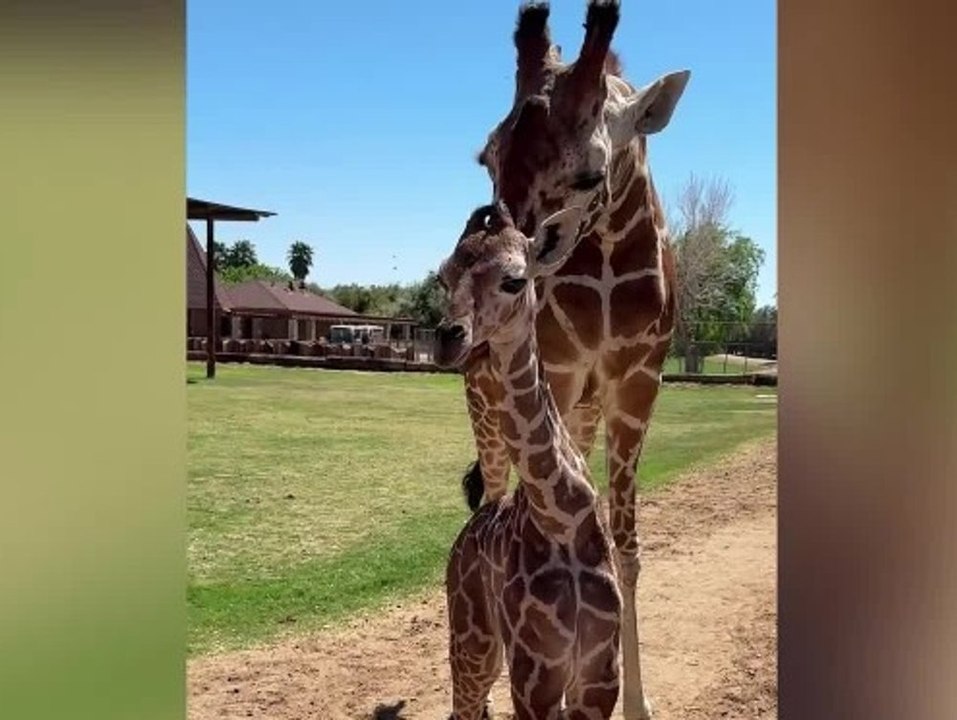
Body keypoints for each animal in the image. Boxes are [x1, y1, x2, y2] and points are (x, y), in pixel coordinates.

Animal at [436, 201, 621, 720]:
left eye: (514, 280)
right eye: (442, 277)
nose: (448, 338)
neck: (563, 516)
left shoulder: (600, 673)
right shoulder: (535, 674)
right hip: (474, 643)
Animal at [457, 3, 690, 719]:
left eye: (590, 173)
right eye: (487, 154)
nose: (502, 250)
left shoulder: (638, 383)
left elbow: (627, 549)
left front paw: (638, 702)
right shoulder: (555, 373)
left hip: (586, 412)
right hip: (488, 415)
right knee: (486, 505)